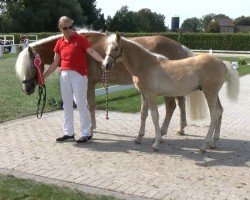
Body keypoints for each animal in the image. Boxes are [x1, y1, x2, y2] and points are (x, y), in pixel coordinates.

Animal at [15, 30, 193, 134]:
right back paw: (180, 128)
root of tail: (180, 46)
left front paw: (91, 128)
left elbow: (90, 105)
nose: (26, 89)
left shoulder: (89, 83)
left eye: (32, 65)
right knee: (180, 104)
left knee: (172, 106)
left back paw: (163, 130)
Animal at [102, 32, 239, 152]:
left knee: (214, 114)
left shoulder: (151, 95)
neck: (146, 64)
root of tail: (222, 62)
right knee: (220, 111)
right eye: (105, 47)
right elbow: (143, 114)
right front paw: (138, 138)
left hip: (210, 93)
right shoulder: (143, 95)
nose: (105, 65)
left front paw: (156, 144)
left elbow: (154, 116)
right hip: (214, 94)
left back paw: (204, 146)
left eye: (115, 48)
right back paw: (213, 142)